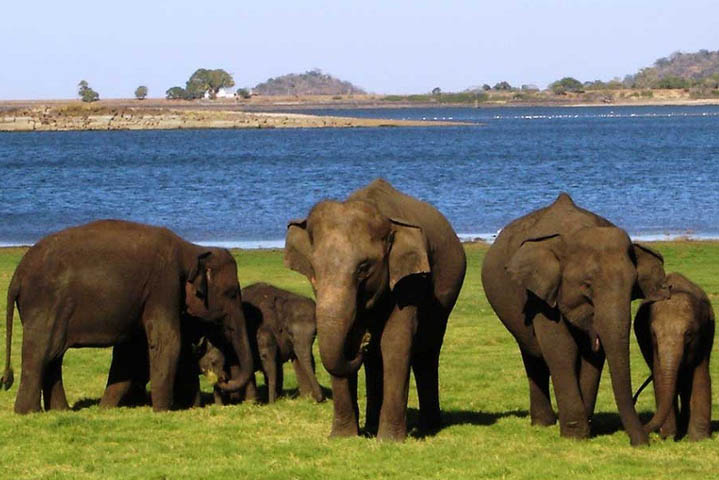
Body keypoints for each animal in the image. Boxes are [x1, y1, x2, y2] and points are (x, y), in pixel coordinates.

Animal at [1, 219, 255, 410]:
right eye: (232, 293)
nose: (221, 380)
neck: (192, 249)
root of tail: (18, 274)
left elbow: (131, 351)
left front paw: (105, 408)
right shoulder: (163, 285)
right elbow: (167, 341)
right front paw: (163, 410)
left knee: (54, 355)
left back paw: (60, 411)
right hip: (45, 304)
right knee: (40, 353)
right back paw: (28, 412)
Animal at [284, 178, 470, 440]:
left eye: (364, 267)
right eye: (314, 268)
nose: (363, 341)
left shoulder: (410, 279)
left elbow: (396, 341)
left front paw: (389, 440)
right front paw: (342, 437)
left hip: (447, 291)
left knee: (427, 350)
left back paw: (429, 427)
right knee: (376, 359)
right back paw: (372, 424)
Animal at [480, 192, 672, 446]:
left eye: (633, 287)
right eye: (587, 285)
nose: (641, 443)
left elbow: (592, 357)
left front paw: (586, 429)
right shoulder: (541, 296)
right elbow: (561, 350)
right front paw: (575, 435)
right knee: (532, 353)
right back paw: (543, 423)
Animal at [636, 272, 716, 440]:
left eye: (688, 334)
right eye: (653, 334)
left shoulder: (706, 334)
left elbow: (701, 375)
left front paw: (698, 439)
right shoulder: (652, 345)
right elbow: (660, 376)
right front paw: (668, 436)